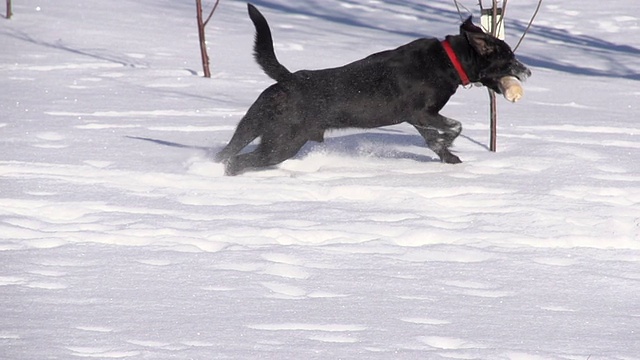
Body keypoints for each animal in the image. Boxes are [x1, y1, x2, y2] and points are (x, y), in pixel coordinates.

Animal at [215, 3, 528, 176]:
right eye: (509, 58)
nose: (528, 71)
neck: (449, 60)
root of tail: (289, 79)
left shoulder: (419, 119)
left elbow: (433, 140)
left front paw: (449, 157)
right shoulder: (422, 113)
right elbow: (455, 126)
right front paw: (448, 144)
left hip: (252, 125)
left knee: (227, 153)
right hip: (282, 142)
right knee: (237, 163)